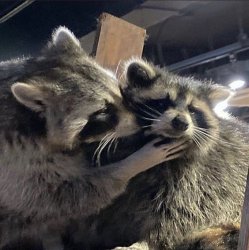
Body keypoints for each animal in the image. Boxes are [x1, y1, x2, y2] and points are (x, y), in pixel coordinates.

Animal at [0, 28, 187, 249]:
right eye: (103, 111)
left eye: (120, 91)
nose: (142, 120)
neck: (34, 122)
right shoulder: (17, 164)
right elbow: (70, 195)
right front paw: (136, 162)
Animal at [80, 59, 249, 250]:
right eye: (162, 103)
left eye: (192, 110)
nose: (181, 123)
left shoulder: (197, 180)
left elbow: (179, 214)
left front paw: (147, 241)